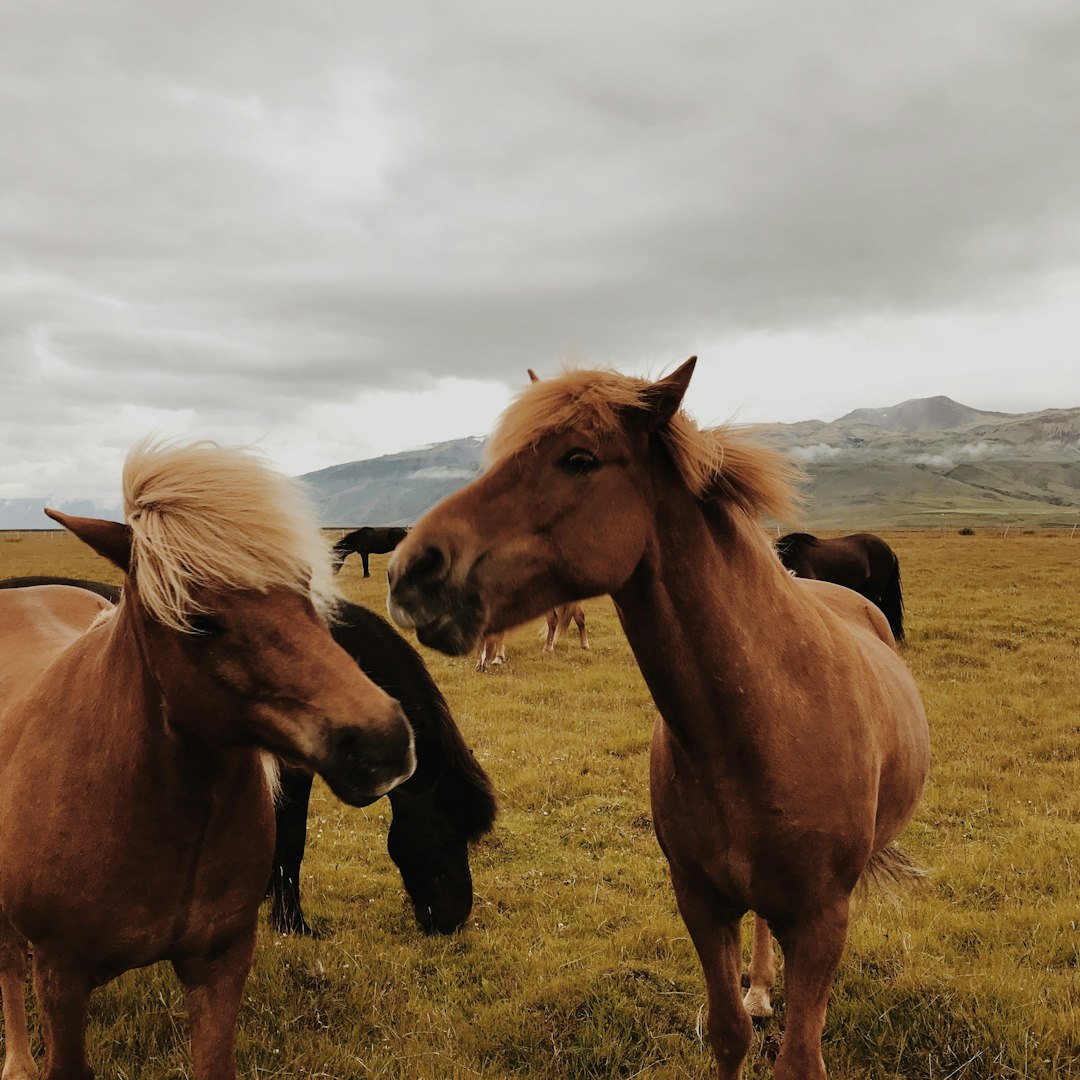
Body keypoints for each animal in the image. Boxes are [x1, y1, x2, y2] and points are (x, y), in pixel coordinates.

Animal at [0, 438, 414, 1080]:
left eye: (304, 588)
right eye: (198, 621)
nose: (383, 742)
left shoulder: (221, 965)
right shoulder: (60, 980)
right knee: (7, 965)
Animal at [386, 360, 928, 1080]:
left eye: (579, 459)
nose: (410, 570)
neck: (762, 721)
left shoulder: (820, 922)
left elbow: (798, 1059)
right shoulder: (699, 901)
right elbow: (728, 1033)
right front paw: (746, 1007)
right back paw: (761, 988)